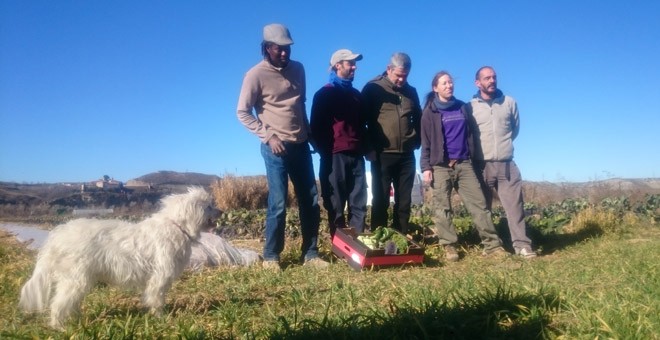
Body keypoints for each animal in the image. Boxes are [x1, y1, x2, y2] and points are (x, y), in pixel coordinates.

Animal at [19, 187, 220, 328]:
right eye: (209, 206)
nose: (222, 212)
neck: (176, 226)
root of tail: (58, 236)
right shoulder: (159, 278)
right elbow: (156, 300)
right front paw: (160, 318)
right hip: (75, 279)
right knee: (58, 304)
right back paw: (59, 327)